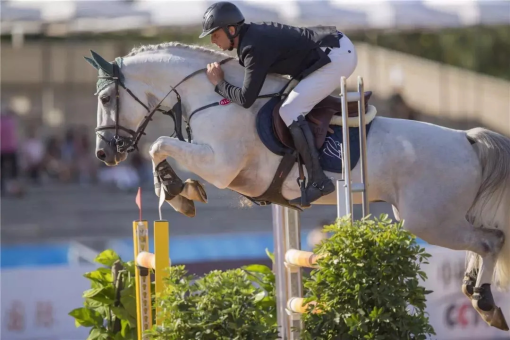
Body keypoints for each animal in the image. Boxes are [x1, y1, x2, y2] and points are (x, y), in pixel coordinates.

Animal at [84, 41, 510, 330]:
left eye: (105, 98)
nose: (104, 154)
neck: (211, 96)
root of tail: (467, 140)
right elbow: (162, 148)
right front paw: (183, 193)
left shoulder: (222, 166)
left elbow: (157, 144)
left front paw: (177, 193)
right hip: (435, 218)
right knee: (483, 240)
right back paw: (475, 291)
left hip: (428, 221)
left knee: (491, 240)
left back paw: (486, 303)